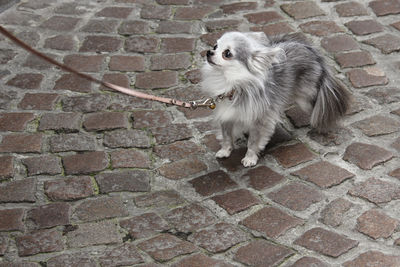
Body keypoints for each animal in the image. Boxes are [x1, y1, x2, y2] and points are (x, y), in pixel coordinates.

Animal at [202, 31, 348, 168]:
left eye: (227, 53)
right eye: (215, 46)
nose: (209, 52)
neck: (232, 85)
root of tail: (312, 51)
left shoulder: (259, 121)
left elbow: (253, 142)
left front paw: (250, 158)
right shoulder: (226, 116)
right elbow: (227, 136)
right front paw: (225, 151)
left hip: (305, 99)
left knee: (318, 106)